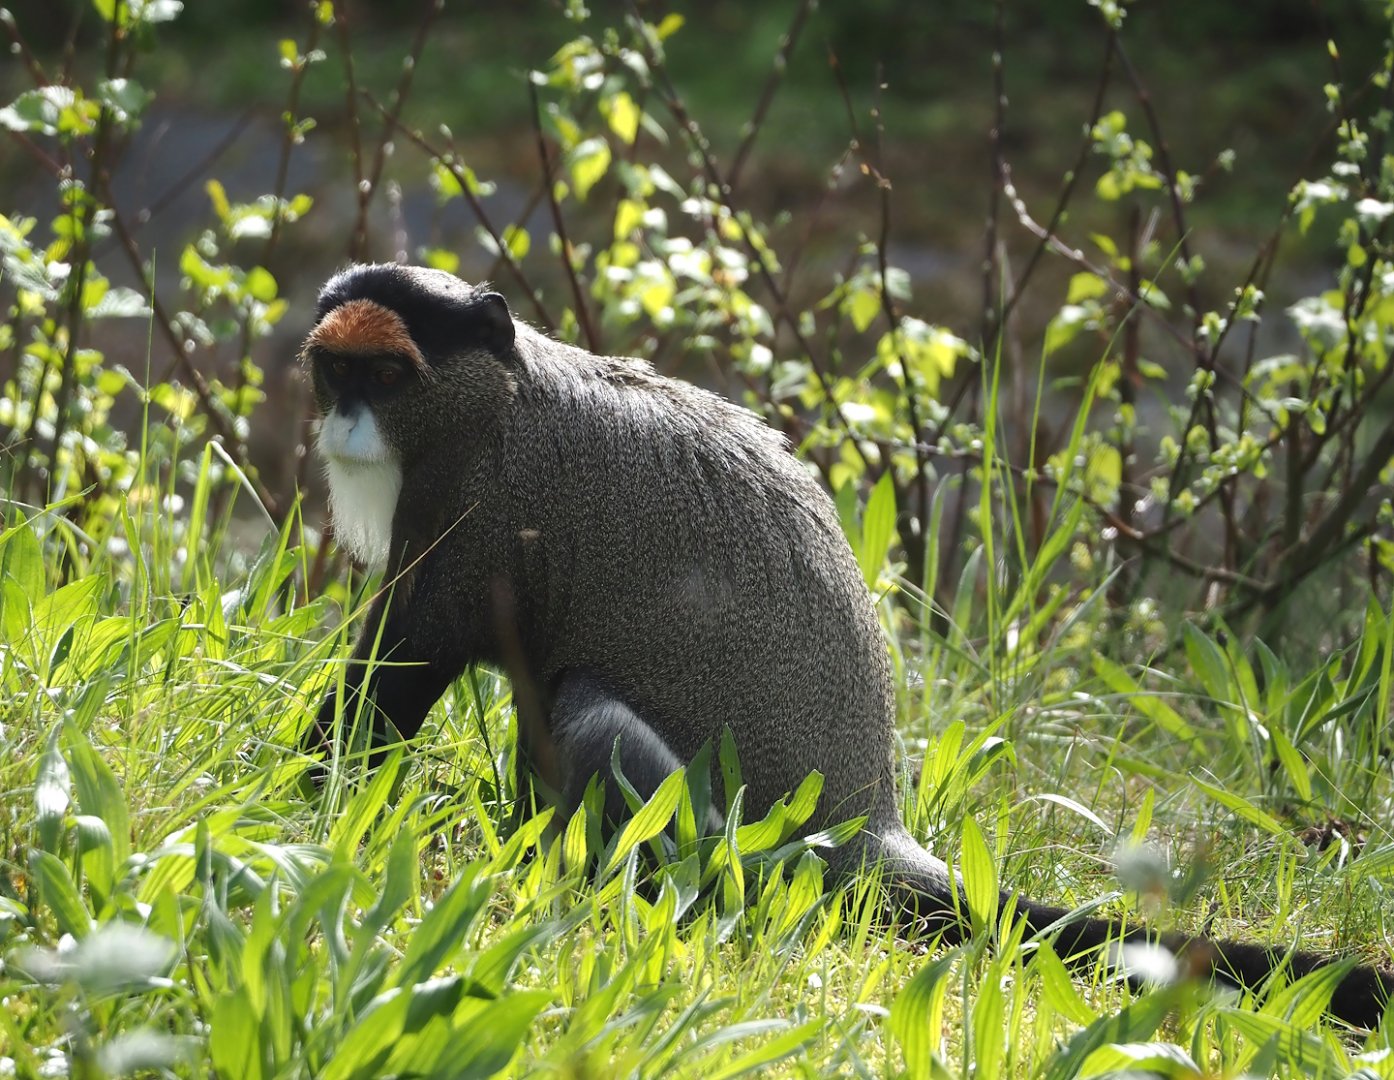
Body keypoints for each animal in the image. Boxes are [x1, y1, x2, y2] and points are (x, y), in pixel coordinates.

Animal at [302, 262, 1392, 1029]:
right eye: (333, 369)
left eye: (386, 374)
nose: (344, 422)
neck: (486, 400)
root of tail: (868, 835)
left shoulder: (481, 519)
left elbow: (398, 677)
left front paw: (311, 811)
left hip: (742, 846)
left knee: (588, 713)